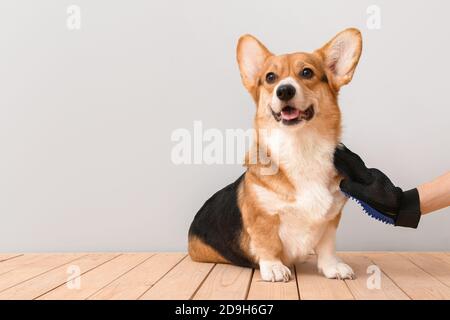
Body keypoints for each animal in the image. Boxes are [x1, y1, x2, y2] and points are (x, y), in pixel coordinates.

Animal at [188, 28, 364, 282]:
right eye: (270, 77)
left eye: (307, 72)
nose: (284, 90)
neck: (301, 148)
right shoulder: (262, 217)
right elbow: (268, 243)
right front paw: (274, 268)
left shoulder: (331, 219)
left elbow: (327, 246)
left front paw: (333, 267)